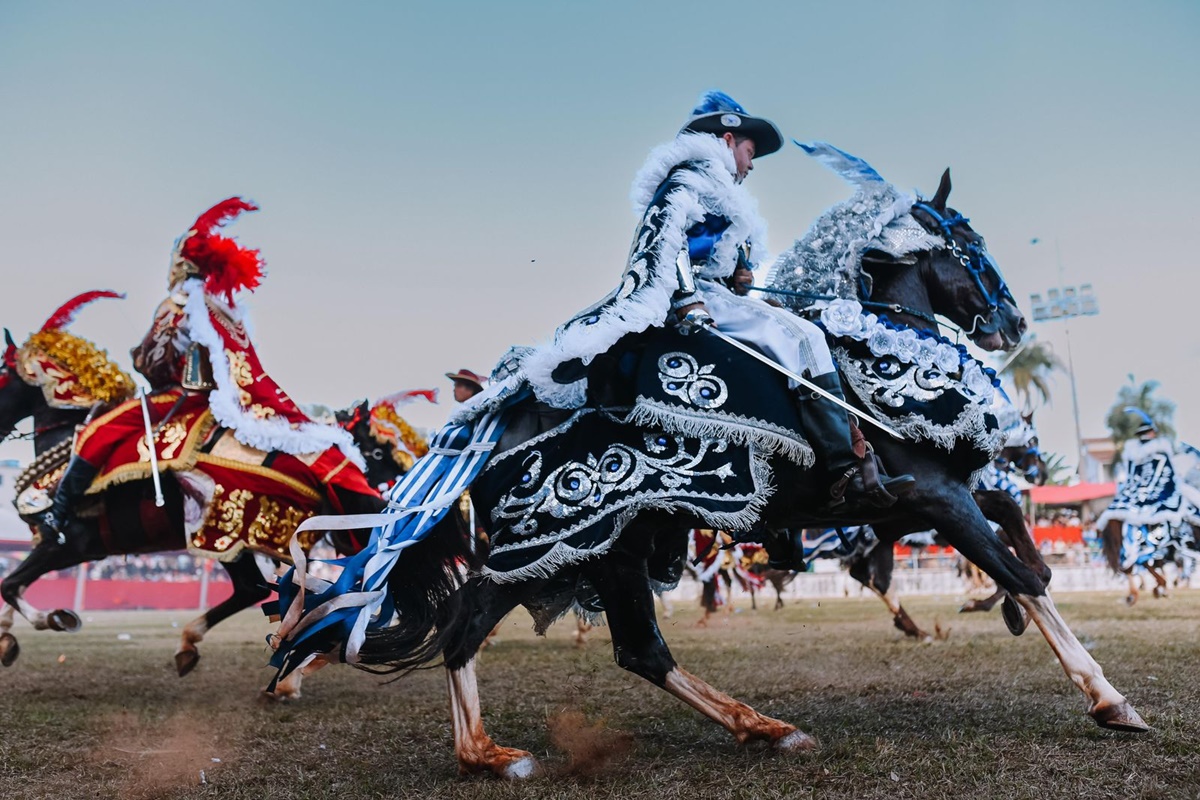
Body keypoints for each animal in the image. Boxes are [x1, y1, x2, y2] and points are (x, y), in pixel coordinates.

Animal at [278, 169, 1142, 777]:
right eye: (967, 239)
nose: (1013, 322)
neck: (873, 355)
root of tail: (494, 423)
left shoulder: (911, 503)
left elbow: (1019, 540)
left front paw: (1012, 610)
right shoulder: (934, 495)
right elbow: (1020, 571)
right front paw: (1108, 697)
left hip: (594, 552)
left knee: (606, 647)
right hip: (563, 543)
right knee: (511, 632)